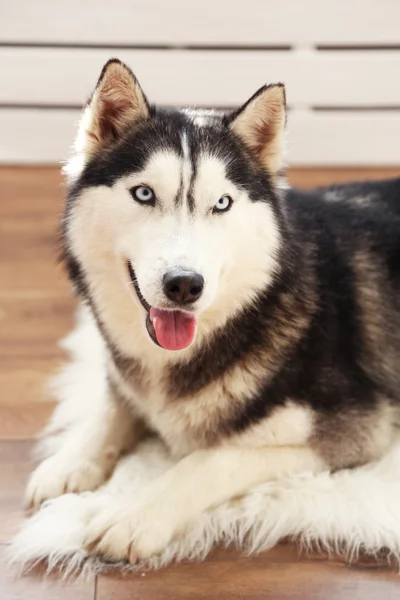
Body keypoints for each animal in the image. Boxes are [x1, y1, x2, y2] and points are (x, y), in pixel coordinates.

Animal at [25, 58, 400, 560]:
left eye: (222, 203)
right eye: (144, 194)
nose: (184, 285)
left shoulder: (359, 427)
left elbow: (212, 458)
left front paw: (135, 514)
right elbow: (114, 399)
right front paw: (71, 461)